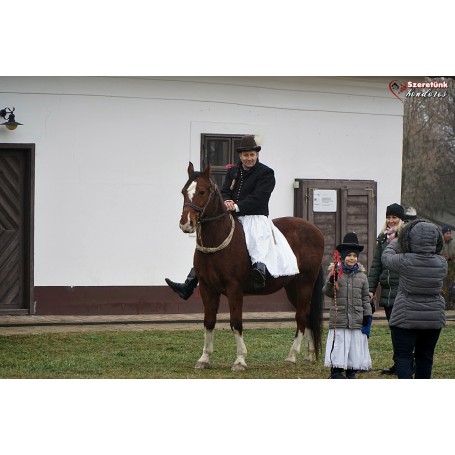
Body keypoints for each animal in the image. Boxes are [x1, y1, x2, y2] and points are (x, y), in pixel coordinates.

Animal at [180, 162, 326, 372]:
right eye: (184, 191)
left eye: (202, 191)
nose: (186, 224)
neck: (218, 239)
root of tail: (315, 230)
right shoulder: (208, 289)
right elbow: (209, 322)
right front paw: (204, 358)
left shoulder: (234, 289)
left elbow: (236, 322)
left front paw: (240, 360)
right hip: (292, 287)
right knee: (305, 314)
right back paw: (308, 355)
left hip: (305, 283)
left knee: (301, 316)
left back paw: (292, 356)